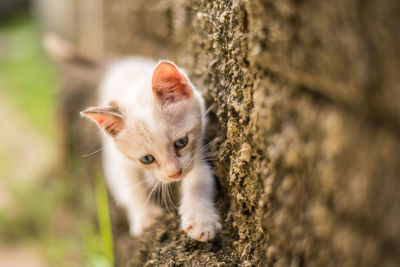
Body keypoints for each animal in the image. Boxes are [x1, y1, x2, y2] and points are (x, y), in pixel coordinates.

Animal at [79, 57, 220, 242]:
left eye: (181, 142)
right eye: (147, 159)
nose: (174, 174)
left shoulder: (197, 152)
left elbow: (199, 181)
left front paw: (200, 219)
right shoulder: (120, 160)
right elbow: (131, 185)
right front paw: (145, 216)